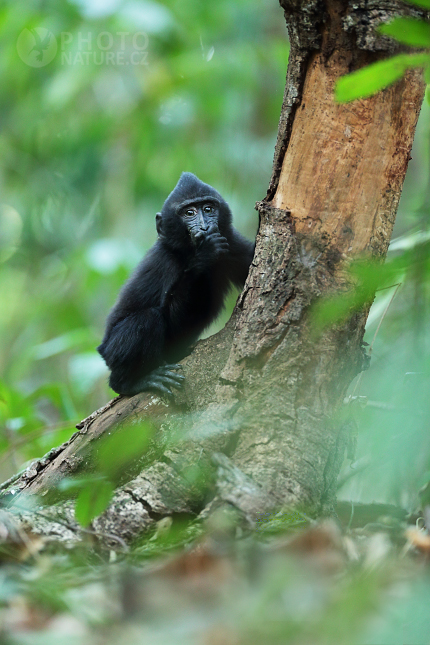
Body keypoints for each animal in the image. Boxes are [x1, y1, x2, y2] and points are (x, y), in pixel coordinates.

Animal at [98, 174, 254, 398]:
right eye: (189, 213)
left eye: (208, 208)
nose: (204, 227)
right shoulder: (166, 262)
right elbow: (174, 318)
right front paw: (205, 254)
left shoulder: (232, 243)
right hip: (112, 353)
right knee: (147, 319)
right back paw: (132, 382)